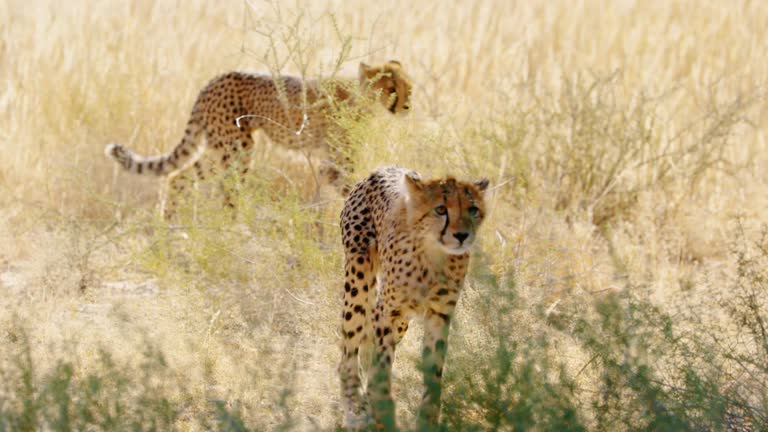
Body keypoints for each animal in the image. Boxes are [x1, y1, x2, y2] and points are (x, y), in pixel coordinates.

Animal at [106, 60, 414, 219]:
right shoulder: (335, 161)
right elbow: (350, 185)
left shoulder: (330, 161)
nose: (406, 106)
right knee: (227, 188)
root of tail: (213, 80)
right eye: (390, 88)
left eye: (408, 87)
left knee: (178, 177)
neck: (363, 96)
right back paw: (235, 230)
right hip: (237, 148)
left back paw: (170, 226)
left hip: (219, 148)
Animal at [340, 165, 488, 428]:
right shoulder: (386, 311)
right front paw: (382, 408)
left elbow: (434, 368)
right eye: (441, 209)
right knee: (349, 348)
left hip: (401, 322)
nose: (461, 235)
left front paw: (428, 419)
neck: (433, 253)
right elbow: (382, 363)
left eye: (473, 210)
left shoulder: (439, 313)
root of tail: (383, 167)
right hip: (358, 281)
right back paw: (354, 410)